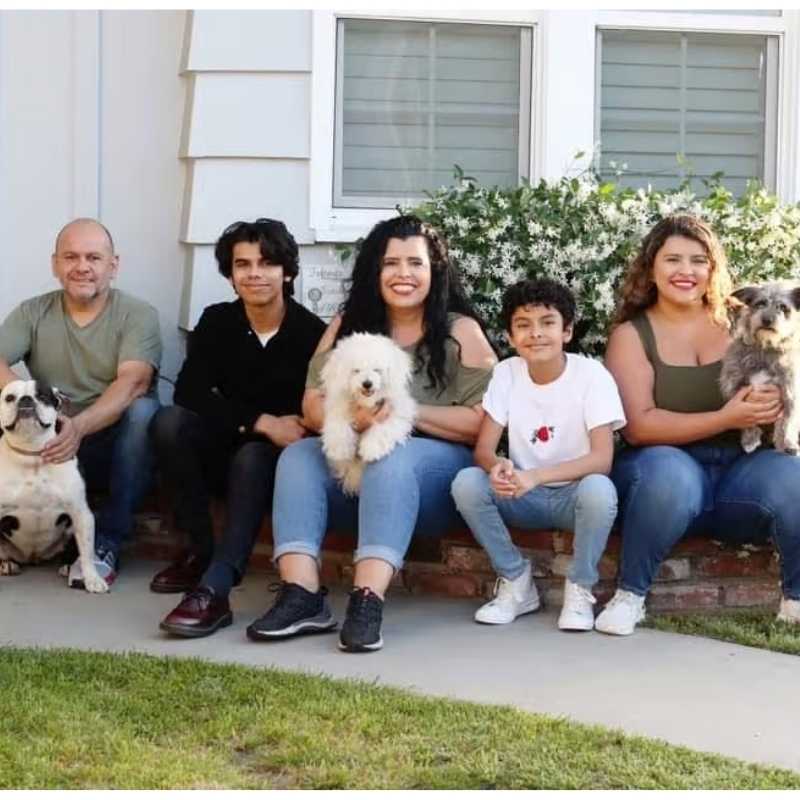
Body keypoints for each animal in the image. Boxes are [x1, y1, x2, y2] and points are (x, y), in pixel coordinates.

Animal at [320, 332, 416, 494]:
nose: (367, 383)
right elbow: (338, 428)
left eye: (377, 370)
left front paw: (372, 448)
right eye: (356, 370)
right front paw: (339, 449)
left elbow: (384, 428)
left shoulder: (396, 413)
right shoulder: (339, 409)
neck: (367, 403)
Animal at [720, 282, 800, 456]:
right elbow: (746, 421)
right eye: (760, 303)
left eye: (783, 307)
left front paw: (787, 444)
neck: (765, 347)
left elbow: (787, 421)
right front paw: (750, 440)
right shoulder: (737, 387)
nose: (767, 320)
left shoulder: (790, 392)